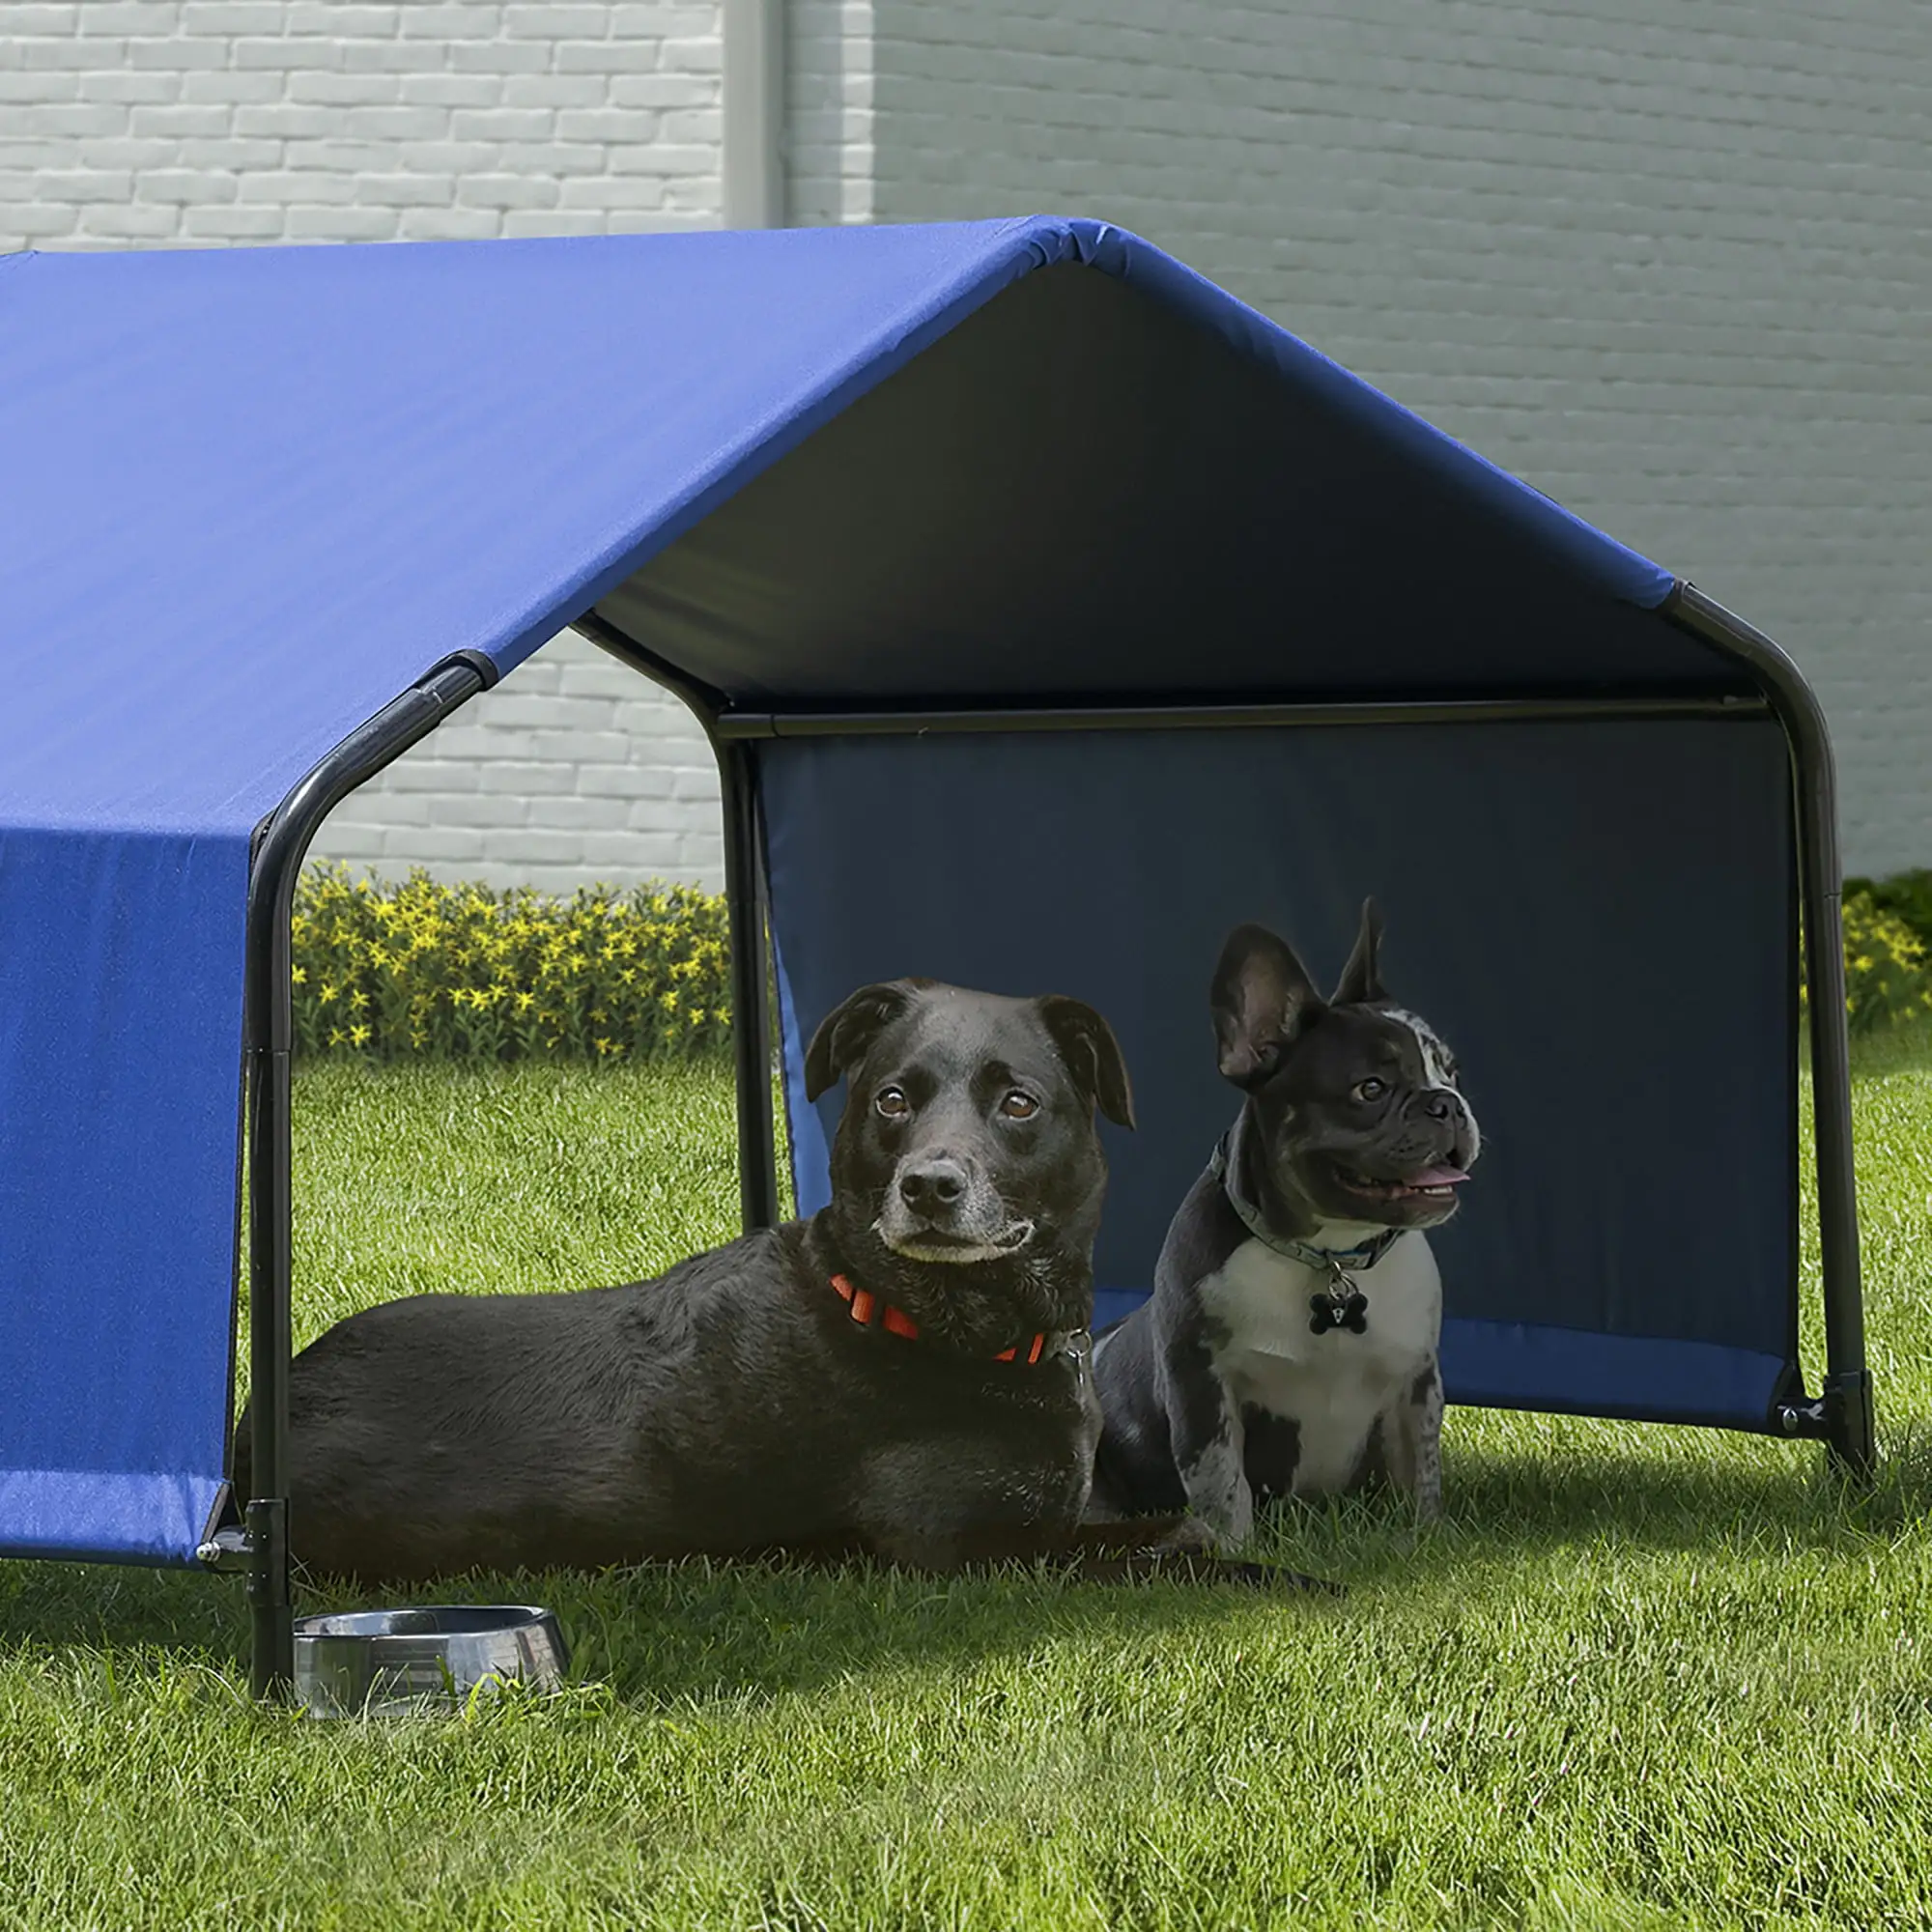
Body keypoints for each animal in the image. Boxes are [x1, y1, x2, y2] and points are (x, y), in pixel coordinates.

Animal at [234, 974, 1337, 1592]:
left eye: (1018, 1103)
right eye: (891, 1098)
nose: (928, 1187)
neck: (913, 1317)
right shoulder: (974, 1548)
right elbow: (1187, 1546)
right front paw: (1297, 1580)